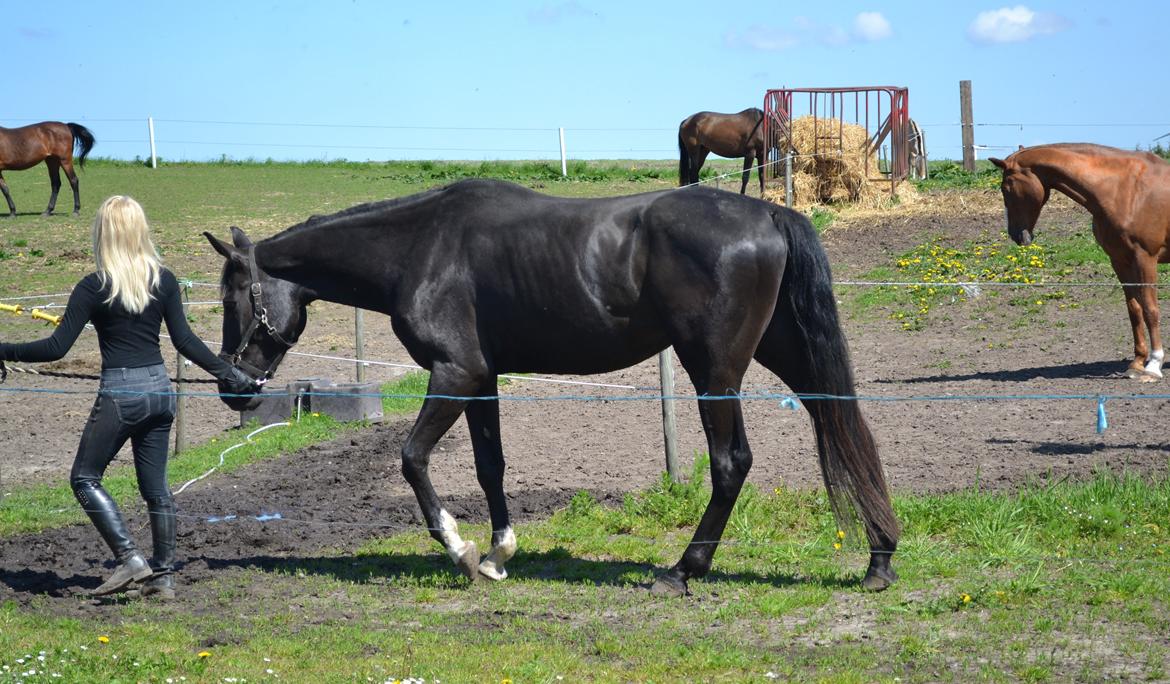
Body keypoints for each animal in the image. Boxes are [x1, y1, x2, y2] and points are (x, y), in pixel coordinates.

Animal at [205, 178, 898, 593]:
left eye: (234, 294)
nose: (234, 388)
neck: (419, 247)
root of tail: (769, 212)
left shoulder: (453, 373)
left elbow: (411, 459)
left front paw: (460, 550)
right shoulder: (481, 379)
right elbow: (489, 467)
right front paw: (497, 554)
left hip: (715, 371)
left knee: (732, 463)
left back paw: (683, 570)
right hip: (783, 356)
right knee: (845, 426)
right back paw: (880, 557)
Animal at [992, 142, 1170, 378]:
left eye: (1006, 188)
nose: (1016, 235)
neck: (1125, 189)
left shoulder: (1145, 258)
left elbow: (1150, 309)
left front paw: (1154, 364)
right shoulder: (1120, 260)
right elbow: (1135, 309)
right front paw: (1137, 363)